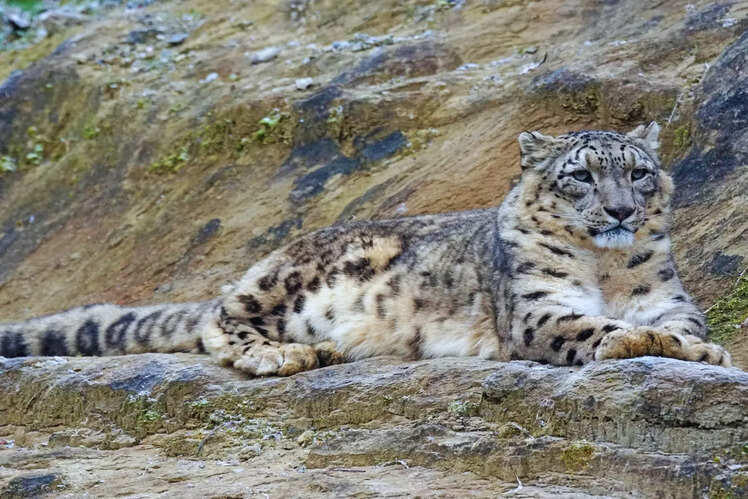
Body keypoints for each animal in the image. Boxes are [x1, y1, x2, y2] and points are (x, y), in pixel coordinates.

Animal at [0, 122, 732, 375]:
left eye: (638, 171)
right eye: (580, 175)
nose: (621, 210)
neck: (605, 267)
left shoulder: (667, 295)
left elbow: (678, 324)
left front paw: (692, 346)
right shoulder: (536, 306)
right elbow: (593, 325)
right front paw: (655, 344)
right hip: (291, 278)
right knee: (220, 319)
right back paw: (283, 354)